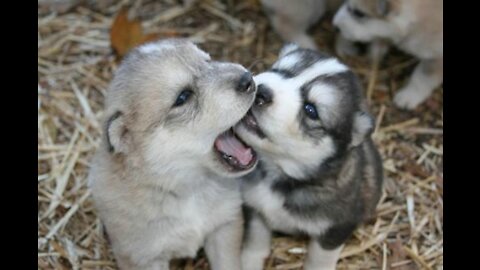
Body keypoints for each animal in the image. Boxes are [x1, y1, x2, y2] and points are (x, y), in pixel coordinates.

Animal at [234, 44, 384, 270]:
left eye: (310, 110)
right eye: (278, 70)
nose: (260, 91)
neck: (279, 173)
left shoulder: (335, 229)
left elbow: (319, 258)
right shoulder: (255, 208)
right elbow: (255, 240)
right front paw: (248, 262)